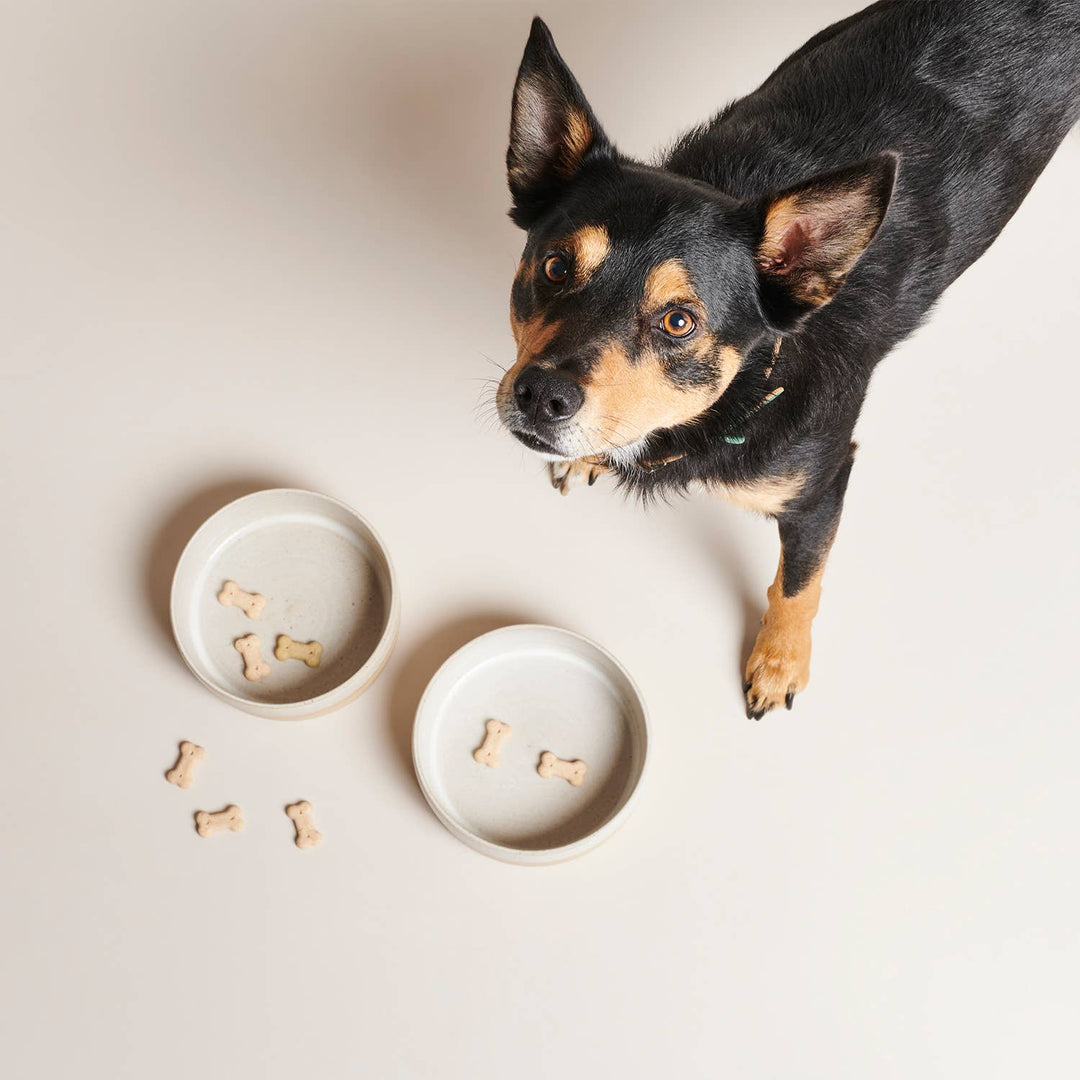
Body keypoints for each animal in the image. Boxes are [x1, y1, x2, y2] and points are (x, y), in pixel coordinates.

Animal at [494, 4, 1080, 721]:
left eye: (679, 322)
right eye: (555, 267)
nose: (541, 395)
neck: (745, 386)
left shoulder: (821, 487)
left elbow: (800, 583)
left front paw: (780, 662)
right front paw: (586, 457)